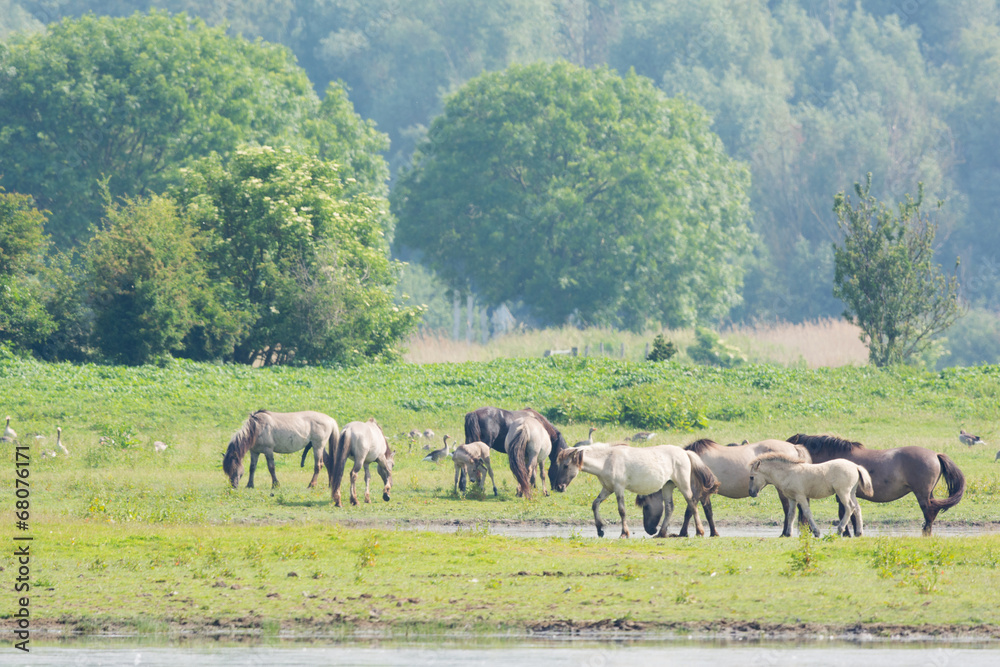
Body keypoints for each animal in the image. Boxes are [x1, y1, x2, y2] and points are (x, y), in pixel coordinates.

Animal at [551, 442, 718, 538]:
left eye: (566, 465)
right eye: (559, 465)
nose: (559, 487)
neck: (607, 460)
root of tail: (684, 453)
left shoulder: (618, 489)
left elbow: (622, 511)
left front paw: (624, 533)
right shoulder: (607, 489)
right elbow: (595, 504)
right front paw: (600, 530)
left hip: (683, 484)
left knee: (692, 503)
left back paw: (699, 531)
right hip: (667, 486)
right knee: (670, 507)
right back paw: (661, 533)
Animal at [637, 438, 813, 537]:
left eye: (646, 507)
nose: (650, 530)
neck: (689, 461)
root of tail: (794, 447)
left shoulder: (698, 491)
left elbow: (694, 511)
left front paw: (686, 532)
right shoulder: (701, 492)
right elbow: (702, 512)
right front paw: (707, 532)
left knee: (788, 509)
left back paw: (785, 533)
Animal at [786, 434, 966, 536]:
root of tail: (935, 455)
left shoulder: (841, 494)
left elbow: (844, 513)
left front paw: (846, 533)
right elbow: (851, 514)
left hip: (922, 493)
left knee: (929, 512)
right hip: (928, 493)